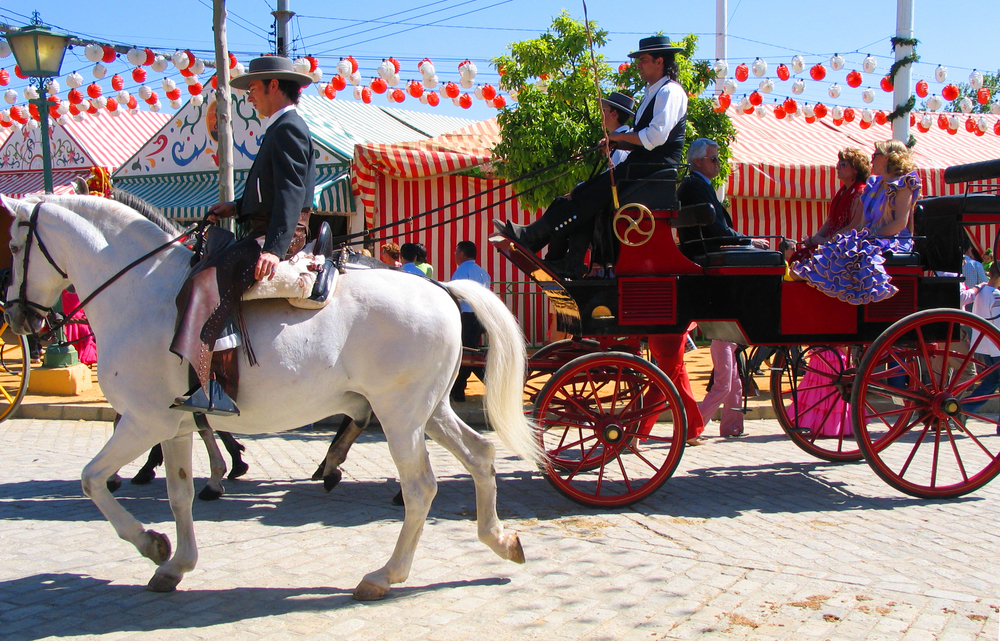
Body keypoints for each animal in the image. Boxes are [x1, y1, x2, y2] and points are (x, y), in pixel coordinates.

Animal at [3, 195, 544, 600]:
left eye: (12, 244)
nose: (16, 317)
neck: (142, 292)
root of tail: (439, 287)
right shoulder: (174, 425)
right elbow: (178, 495)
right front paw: (176, 562)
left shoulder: (143, 421)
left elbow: (91, 480)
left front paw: (151, 544)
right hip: (429, 410)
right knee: (480, 455)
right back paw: (499, 539)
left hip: (401, 417)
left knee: (420, 489)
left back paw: (383, 575)